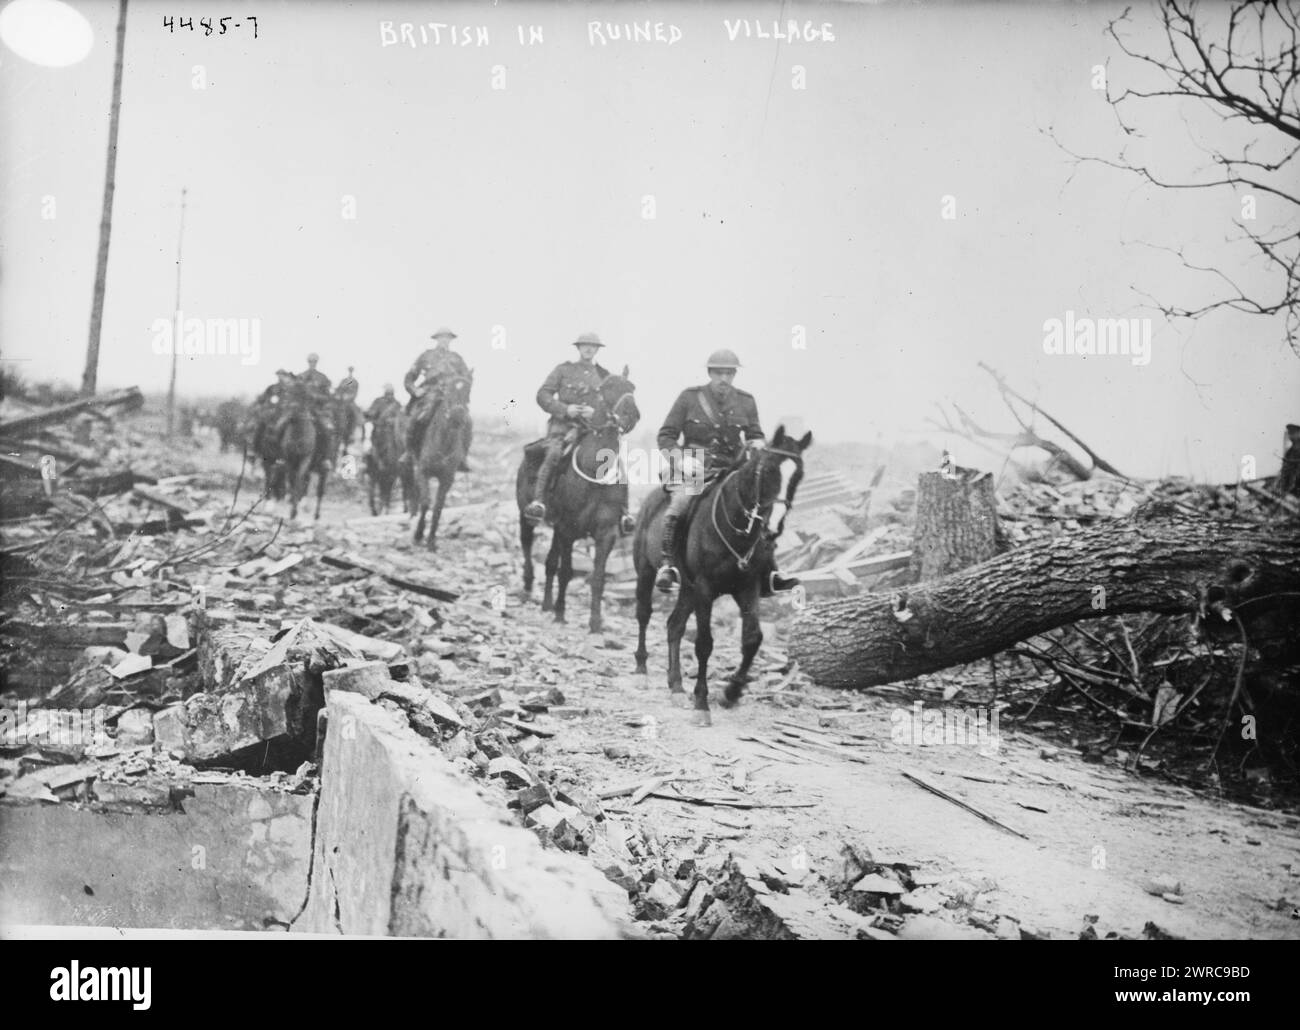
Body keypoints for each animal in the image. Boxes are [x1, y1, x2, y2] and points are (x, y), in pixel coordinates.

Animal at [410, 374, 473, 551]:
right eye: (448, 391)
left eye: (468, 391)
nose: (458, 415)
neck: (443, 443)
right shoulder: (423, 472)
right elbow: (426, 503)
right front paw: (418, 535)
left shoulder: (447, 479)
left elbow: (438, 507)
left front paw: (431, 541)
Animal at [517, 366, 639, 632]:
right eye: (606, 387)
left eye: (632, 388)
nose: (632, 415)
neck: (594, 471)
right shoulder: (567, 530)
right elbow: (566, 572)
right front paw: (561, 614)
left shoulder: (605, 534)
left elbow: (598, 578)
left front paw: (595, 622)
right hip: (526, 516)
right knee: (528, 546)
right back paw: (528, 589)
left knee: (550, 562)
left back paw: (547, 603)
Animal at [631, 423, 806, 723]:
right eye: (768, 470)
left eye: (799, 476)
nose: (773, 528)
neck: (736, 527)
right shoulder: (705, 589)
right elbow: (704, 644)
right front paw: (702, 703)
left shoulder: (747, 588)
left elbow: (752, 639)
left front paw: (731, 693)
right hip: (647, 572)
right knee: (644, 614)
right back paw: (642, 671)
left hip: (687, 590)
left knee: (674, 626)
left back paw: (676, 686)